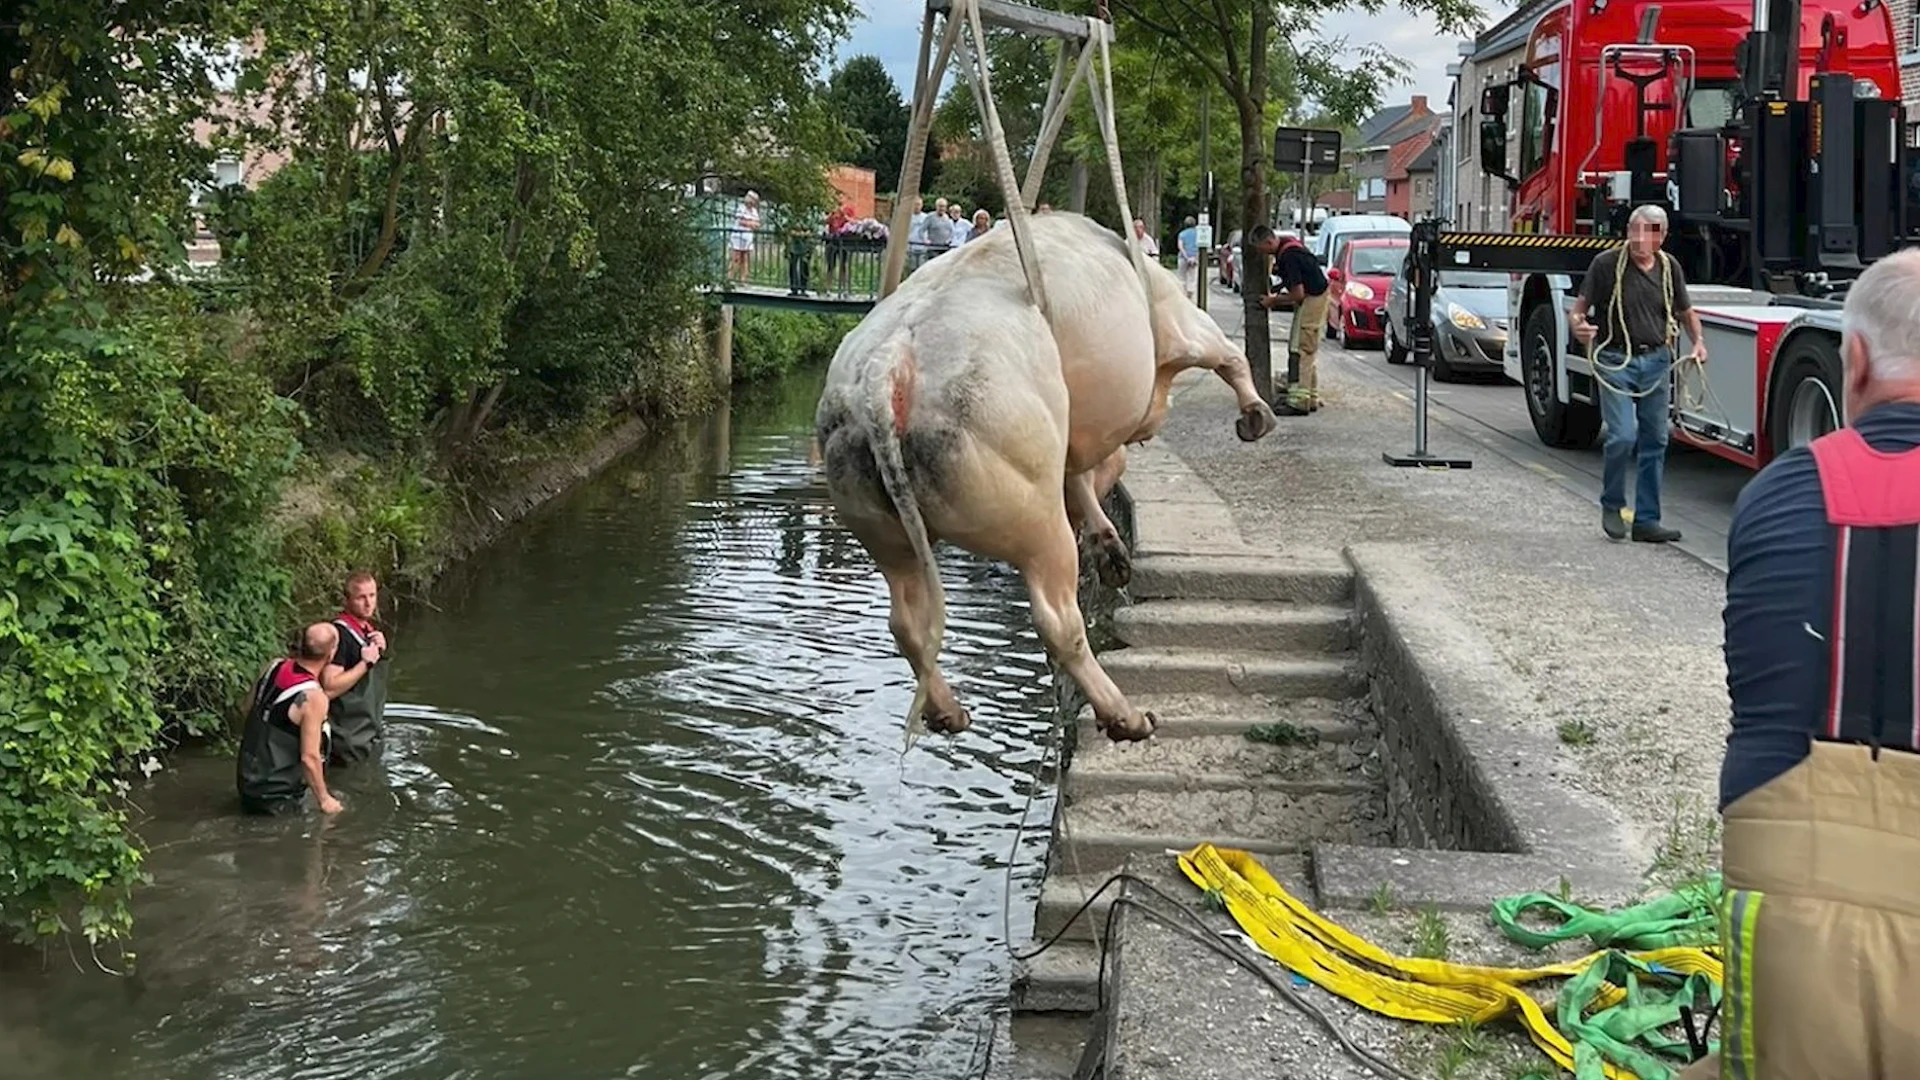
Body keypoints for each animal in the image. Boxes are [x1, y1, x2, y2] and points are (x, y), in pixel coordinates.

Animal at [814, 208, 1274, 737]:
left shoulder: (1073, 435)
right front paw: (1256, 414)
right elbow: (1227, 355)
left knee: (907, 621)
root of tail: (888, 367)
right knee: (1057, 620)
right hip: (1033, 520)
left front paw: (1111, 550)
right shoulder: (1177, 321)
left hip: (877, 522)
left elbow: (1084, 482)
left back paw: (948, 711)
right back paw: (1126, 716)